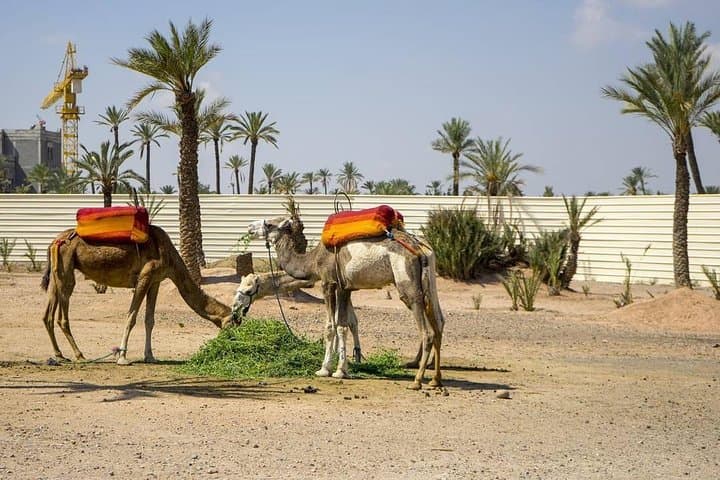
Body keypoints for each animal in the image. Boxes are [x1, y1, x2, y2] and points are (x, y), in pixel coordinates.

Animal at [40, 225, 235, 364]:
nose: (231, 341)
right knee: (62, 316)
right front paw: (122, 357)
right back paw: (80, 355)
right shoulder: (145, 276)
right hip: (67, 268)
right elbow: (131, 317)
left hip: (57, 274)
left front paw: (150, 356)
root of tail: (53, 242)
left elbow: (149, 320)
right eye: (233, 323)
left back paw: (59, 355)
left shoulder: (155, 281)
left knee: (47, 315)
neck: (170, 257)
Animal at [248, 215, 444, 390]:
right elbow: (343, 325)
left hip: (406, 280)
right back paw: (435, 380)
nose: (250, 227)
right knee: (439, 322)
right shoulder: (345, 287)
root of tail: (420, 250)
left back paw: (417, 381)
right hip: (430, 281)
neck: (313, 260)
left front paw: (325, 369)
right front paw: (341, 370)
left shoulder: (328, 283)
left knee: (427, 331)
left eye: (270, 224)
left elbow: (330, 326)